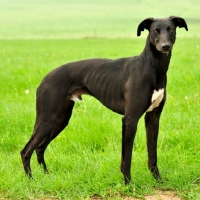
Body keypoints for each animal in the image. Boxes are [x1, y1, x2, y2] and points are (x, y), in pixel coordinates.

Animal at [21, 16, 188, 185]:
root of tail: (45, 78)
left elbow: (152, 155)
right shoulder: (130, 119)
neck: (151, 67)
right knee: (26, 150)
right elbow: (126, 158)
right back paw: (31, 179)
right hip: (46, 118)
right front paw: (128, 184)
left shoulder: (153, 117)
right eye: (155, 30)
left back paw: (47, 175)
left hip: (60, 119)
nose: (165, 46)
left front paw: (159, 180)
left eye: (171, 29)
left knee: (40, 148)